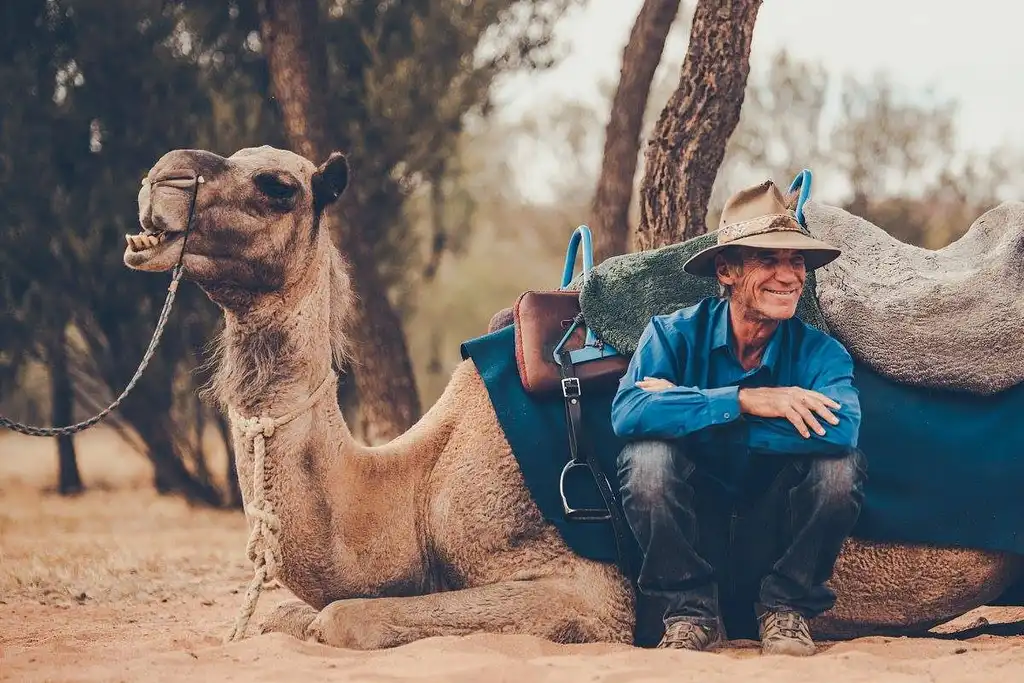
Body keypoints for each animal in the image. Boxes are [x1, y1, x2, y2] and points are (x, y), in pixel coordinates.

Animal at [125, 145, 1024, 651]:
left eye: (276, 184)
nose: (162, 180)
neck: (416, 482)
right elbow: (285, 619)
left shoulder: (582, 585)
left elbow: (341, 617)